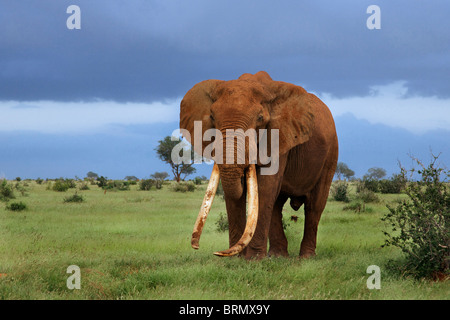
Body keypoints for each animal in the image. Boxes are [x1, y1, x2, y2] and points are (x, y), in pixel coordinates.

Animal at [179, 71, 338, 258]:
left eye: (260, 118)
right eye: (212, 117)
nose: (197, 246)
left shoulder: (280, 137)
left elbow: (265, 188)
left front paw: (253, 259)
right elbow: (237, 194)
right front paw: (237, 259)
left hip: (330, 155)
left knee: (314, 205)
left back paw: (306, 257)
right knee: (276, 205)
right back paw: (277, 256)